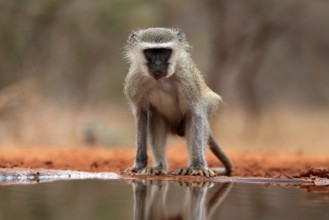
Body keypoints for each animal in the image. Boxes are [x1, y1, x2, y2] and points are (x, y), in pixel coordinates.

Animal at [123, 27, 233, 177]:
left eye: (164, 52)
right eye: (150, 52)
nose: (158, 64)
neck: (160, 80)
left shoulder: (186, 76)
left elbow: (196, 112)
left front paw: (198, 166)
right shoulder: (135, 79)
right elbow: (141, 115)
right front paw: (139, 165)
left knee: (197, 120)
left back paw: (189, 167)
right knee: (155, 117)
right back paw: (159, 166)